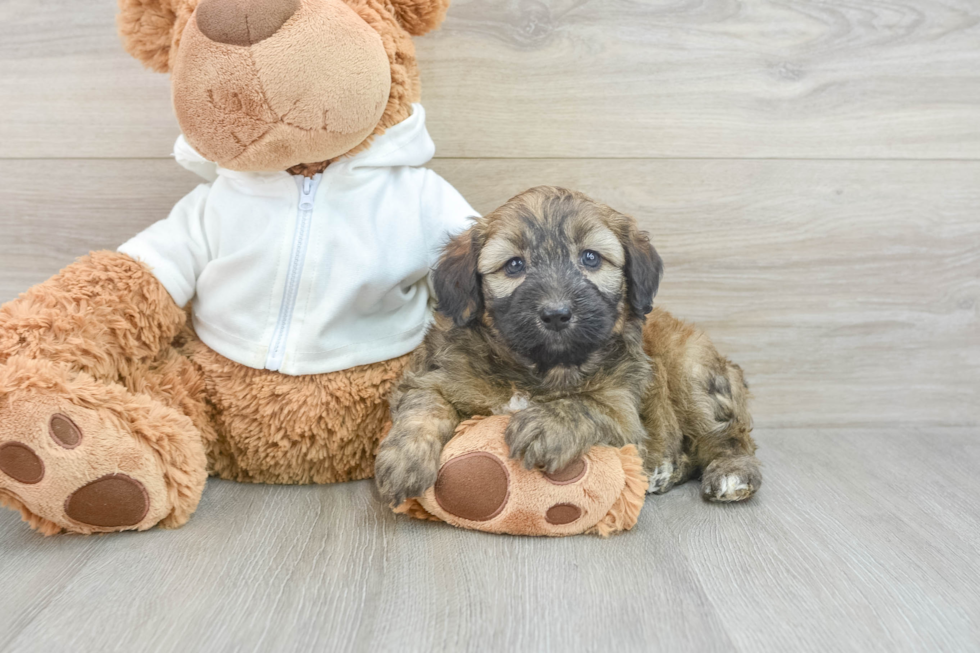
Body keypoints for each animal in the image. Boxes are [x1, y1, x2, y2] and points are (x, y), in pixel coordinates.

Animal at [372, 186, 760, 506]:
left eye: (590, 258)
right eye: (514, 265)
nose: (556, 314)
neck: (542, 368)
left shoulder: (624, 412)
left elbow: (588, 405)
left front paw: (547, 423)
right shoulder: (435, 375)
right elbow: (422, 407)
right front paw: (403, 460)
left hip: (691, 369)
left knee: (727, 435)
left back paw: (731, 472)